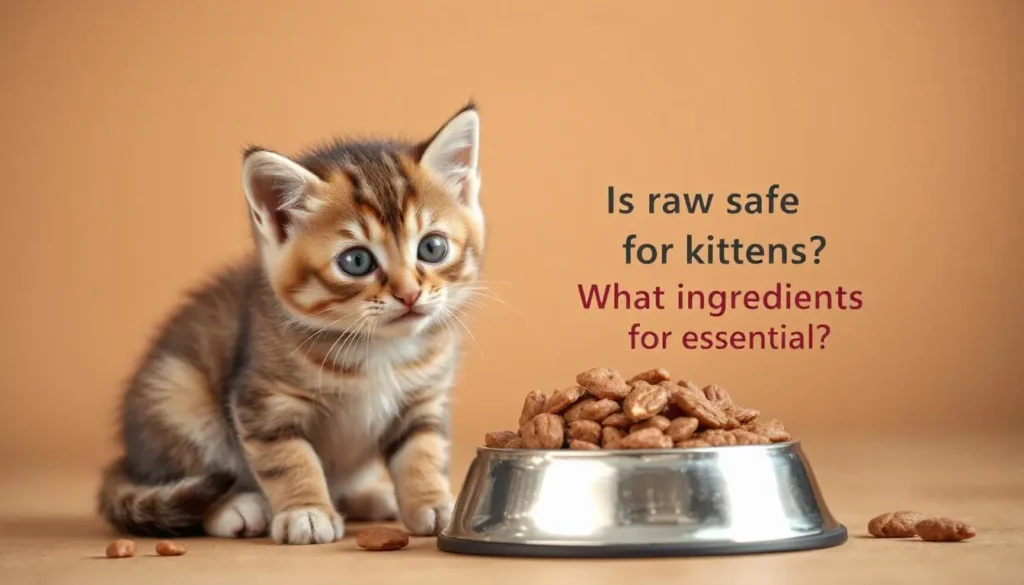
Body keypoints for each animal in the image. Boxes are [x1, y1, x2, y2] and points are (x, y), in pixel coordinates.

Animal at [97, 103, 481, 545]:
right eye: (356, 261)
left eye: (432, 248)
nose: (409, 294)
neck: (378, 346)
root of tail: (128, 459)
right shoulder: (265, 400)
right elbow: (288, 457)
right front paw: (306, 511)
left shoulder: (423, 399)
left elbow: (423, 451)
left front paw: (433, 502)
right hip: (177, 396)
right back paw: (236, 509)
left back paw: (369, 496)